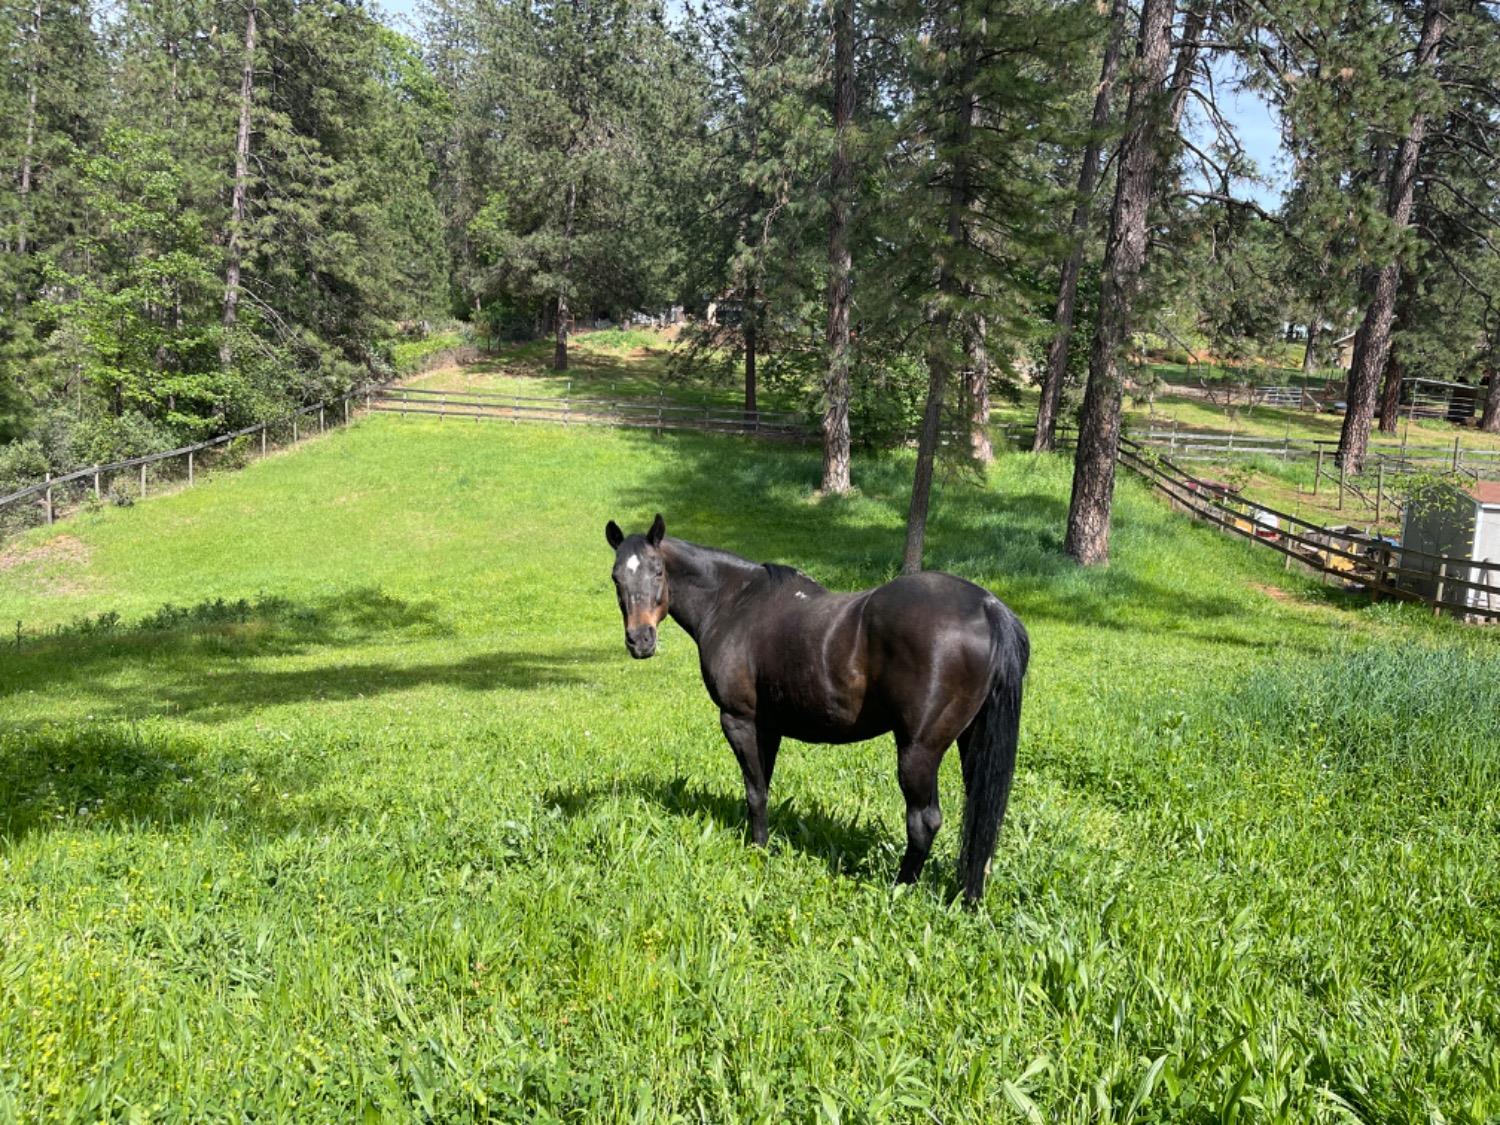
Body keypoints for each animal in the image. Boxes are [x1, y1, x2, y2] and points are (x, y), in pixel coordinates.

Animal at [603, 516, 1026, 906]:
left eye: (658, 571)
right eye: (616, 578)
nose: (640, 640)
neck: (734, 603)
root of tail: (987, 607)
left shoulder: (739, 720)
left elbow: (755, 792)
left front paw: (758, 851)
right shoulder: (768, 727)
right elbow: (762, 787)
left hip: (918, 750)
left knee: (924, 821)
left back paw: (900, 888)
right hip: (973, 741)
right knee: (981, 814)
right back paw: (970, 893)